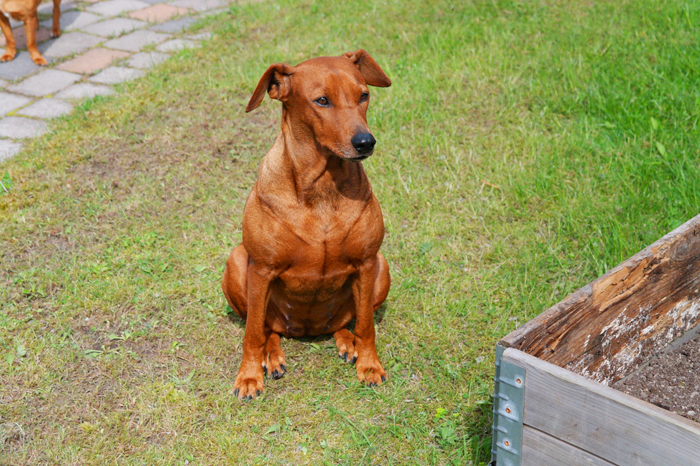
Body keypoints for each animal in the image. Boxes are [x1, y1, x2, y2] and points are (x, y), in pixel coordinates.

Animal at [222, 50, 392, 400]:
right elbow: (252, 334)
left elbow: (366, 325)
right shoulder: (260, 269)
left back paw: (347, 343)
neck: (322, 185)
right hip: (237, 262)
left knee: (347, 322)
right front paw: (248, 377)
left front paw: (370, 366)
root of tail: (305, 330)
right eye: (322, 100)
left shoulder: (368, 262)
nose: (365, 142)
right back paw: (271, 357)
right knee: (266, 329)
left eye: (364, 95)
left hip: (382, 268)